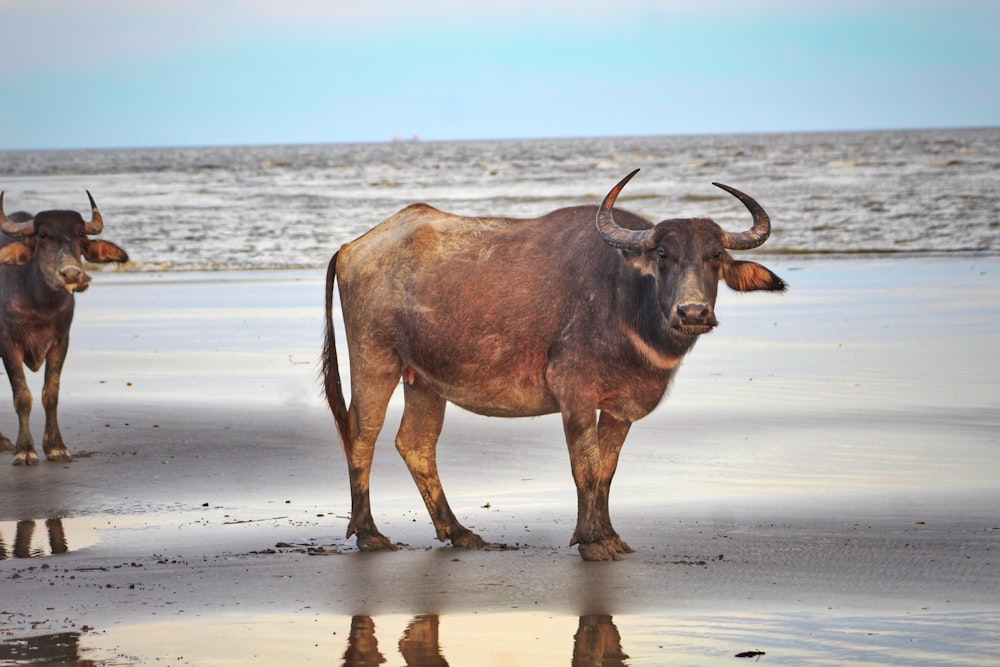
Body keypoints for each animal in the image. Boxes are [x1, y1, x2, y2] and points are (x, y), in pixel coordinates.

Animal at [0, 192, 129, 464]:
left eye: (80, 234)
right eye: (43, 235)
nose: (72, 275)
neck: (39, 302)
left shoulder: (61, 342)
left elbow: (51, 393)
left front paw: (55, 446)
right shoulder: (8, 344)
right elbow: (22, 396)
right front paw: (25, 450)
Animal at [324, 170, 784, 560]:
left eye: (714, 255)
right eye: (662, 253)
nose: (692, 312)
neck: (626, 300)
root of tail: (352, 248)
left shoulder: (619, 408)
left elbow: (607, 470)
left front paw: (610, 535)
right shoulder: (575, 396)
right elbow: (586, 466)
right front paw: (592, 541)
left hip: (424, 380)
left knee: (416, 444)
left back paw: (458, 531)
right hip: (374, 360)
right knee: (362, 434)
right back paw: (369, 533)